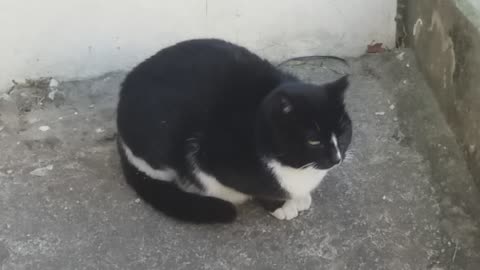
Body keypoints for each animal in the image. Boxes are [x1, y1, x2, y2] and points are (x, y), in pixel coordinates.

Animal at [114, 38, 350, 224]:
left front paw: (299, 197)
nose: (336, 158)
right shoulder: (213, 158)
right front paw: (280, 205)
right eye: (313, 140)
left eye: (342, 132)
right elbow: (258, 189)